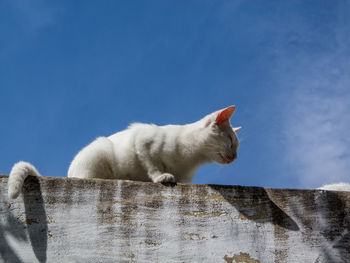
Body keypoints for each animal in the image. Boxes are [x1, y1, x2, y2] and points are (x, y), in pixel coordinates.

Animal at [7, 106, 241, 199]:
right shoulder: (142, 142)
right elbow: (153, 166)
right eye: (231, 141)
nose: (236, 156)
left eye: (236, 146)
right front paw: (162, 177)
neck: (192, 159)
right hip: (100, 151)